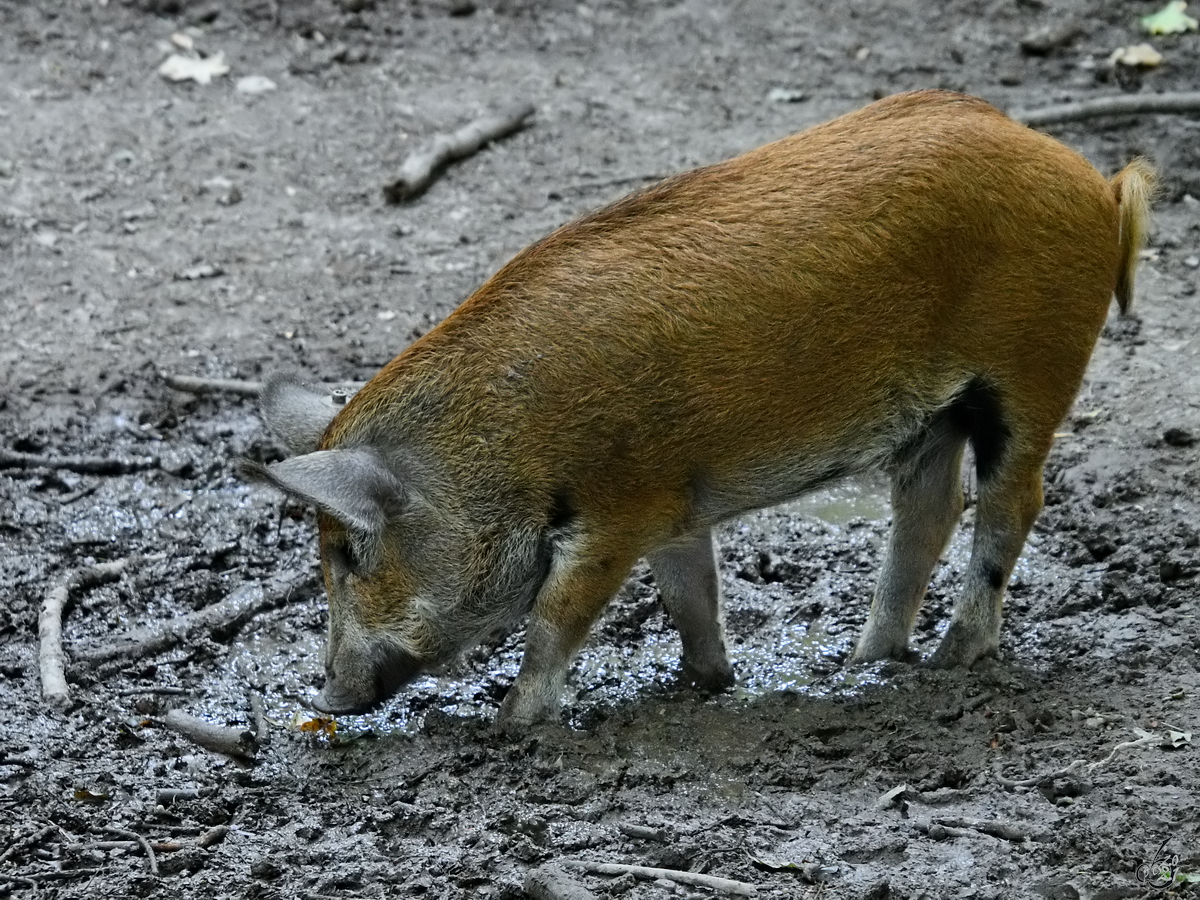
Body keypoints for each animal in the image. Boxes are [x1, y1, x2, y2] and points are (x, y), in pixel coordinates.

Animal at [243, 88, 1152, 729]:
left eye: (350, 553)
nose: (325, 699)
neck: (505, 442)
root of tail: (1099, 185)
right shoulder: (672, 504)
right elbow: (690, 595)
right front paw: (706, 684)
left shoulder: (617, 512)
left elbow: (556, 619)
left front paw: (508, 725)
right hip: (934, 417)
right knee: (927, 513)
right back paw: (864, 662)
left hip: (1032, 374)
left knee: (1013, 502)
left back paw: (950, 661)